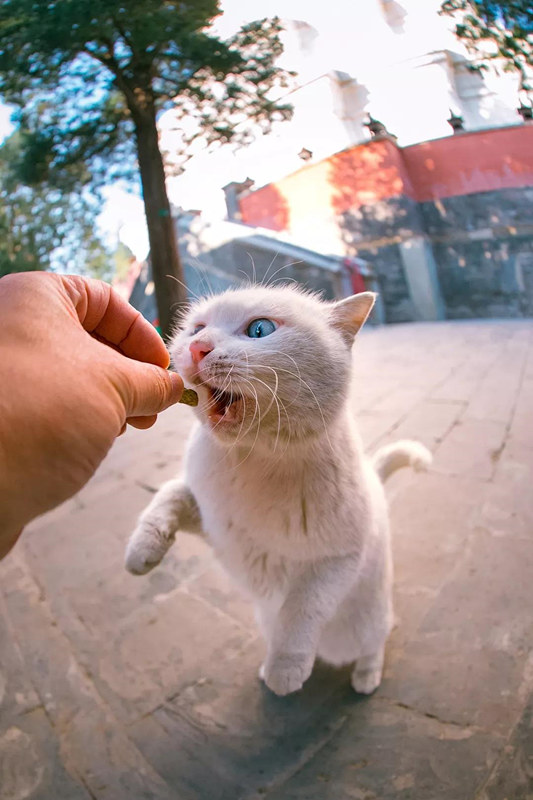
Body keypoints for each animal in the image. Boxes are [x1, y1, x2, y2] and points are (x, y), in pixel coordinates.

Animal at [125, 286, 432, 692]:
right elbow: (169, 495)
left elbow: (301, 610)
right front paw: (143, 550)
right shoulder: (212, 521)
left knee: (374, 644)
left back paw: (365, 677)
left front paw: (285, 670)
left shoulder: (337, 559)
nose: (198, 347)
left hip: (372, 618)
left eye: (260, 330)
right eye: (197, 329)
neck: (251, 459)